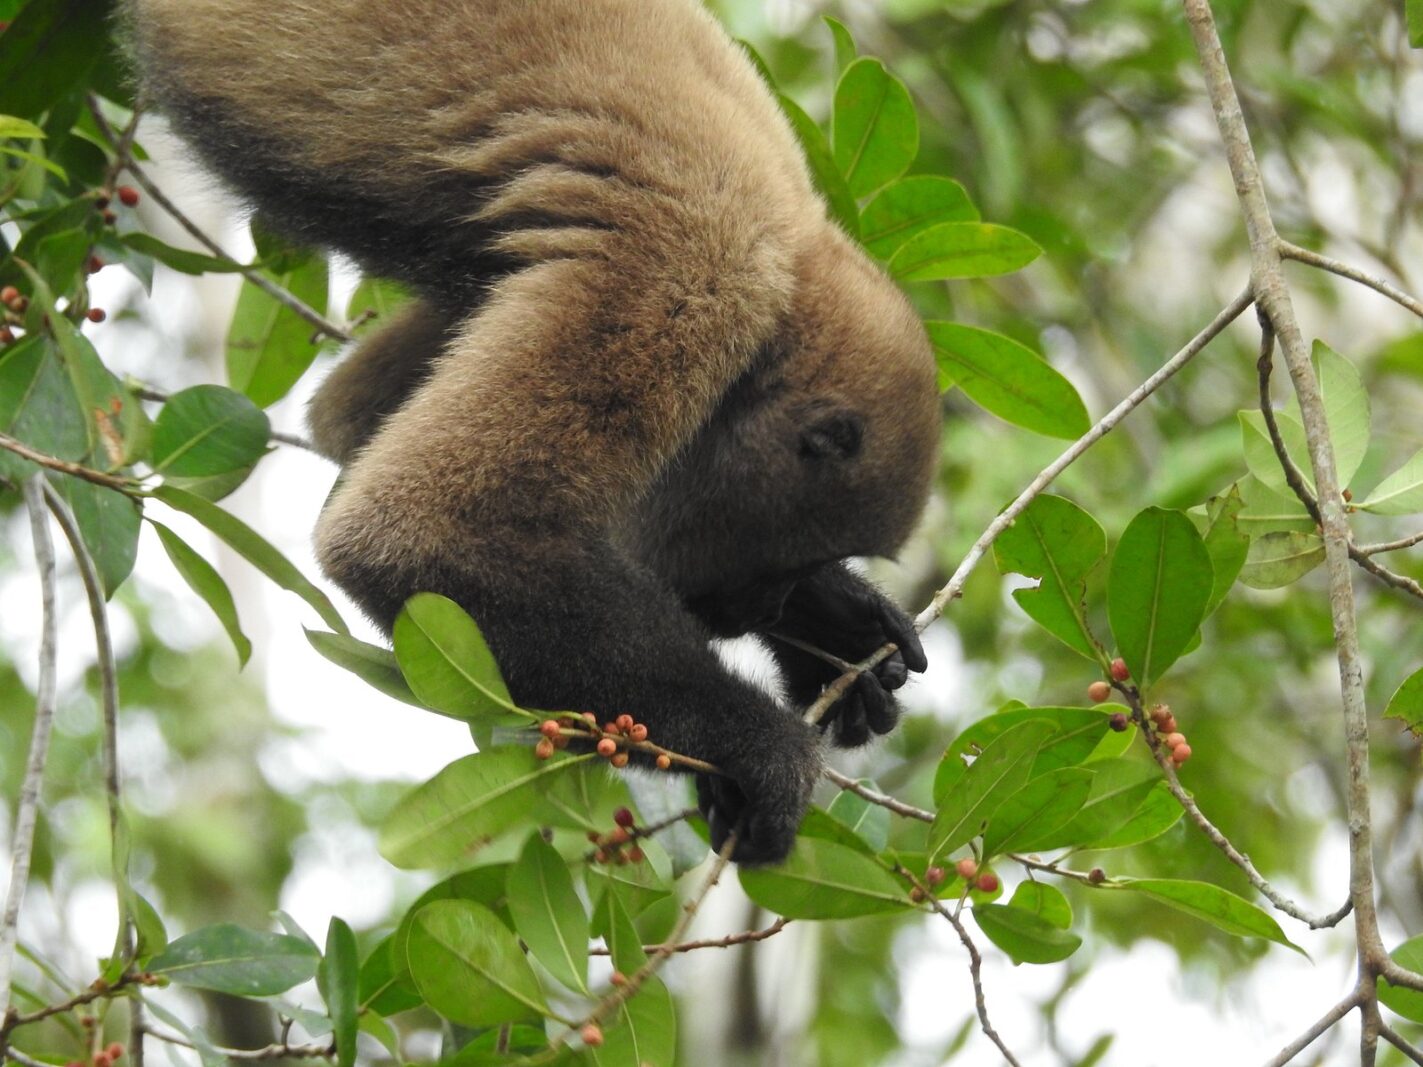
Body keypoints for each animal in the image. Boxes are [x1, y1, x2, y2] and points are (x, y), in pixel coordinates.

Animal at [123, 0, 941, 864]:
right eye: (787, 558)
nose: (767, 602)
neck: (793, 266)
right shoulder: (689, 272)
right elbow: (413, 530)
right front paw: (762, 747)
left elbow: (346, 414)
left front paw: (833, 622)